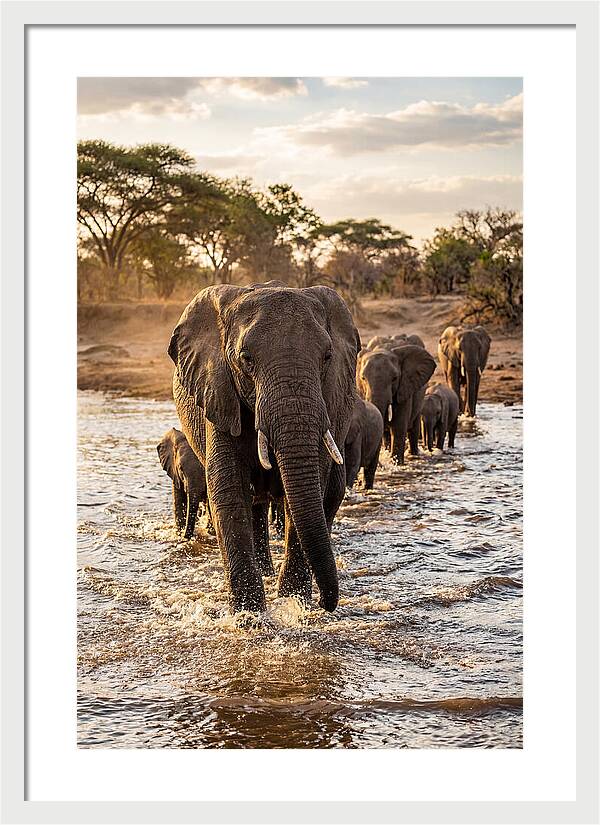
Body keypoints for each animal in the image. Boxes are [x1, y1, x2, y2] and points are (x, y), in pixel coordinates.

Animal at [168, 282, 360, 614]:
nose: (327, 603)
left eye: (327, 356)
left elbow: (311, 488)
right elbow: (229, 490)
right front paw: (250, 617)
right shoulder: (219, 392)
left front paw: (294, 604)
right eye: (246, 359)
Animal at [357, 336, 435, 465]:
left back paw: (414, 455)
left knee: (413, 427)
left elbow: (398, 427)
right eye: (363, 378)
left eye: (394, 378)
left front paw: (397, 464)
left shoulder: (405, 387)